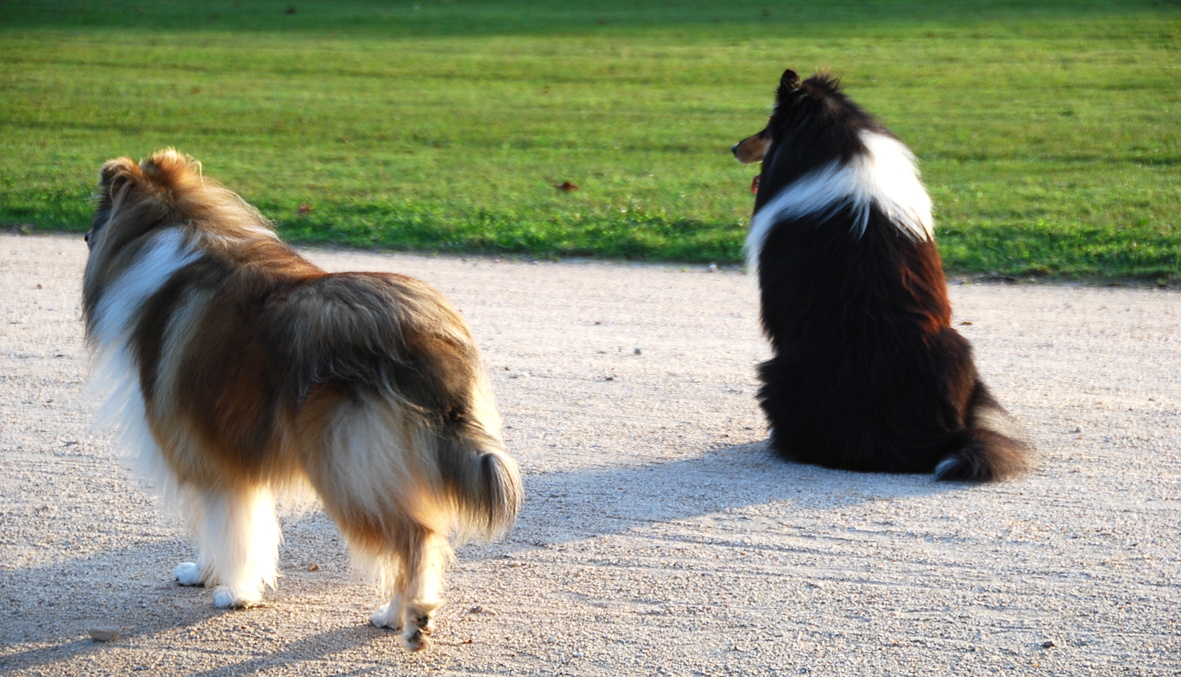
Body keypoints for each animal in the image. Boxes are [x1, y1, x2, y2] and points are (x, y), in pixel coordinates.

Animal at [82, 149, 522, 649]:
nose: (83, 235)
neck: (169, 225)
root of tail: (423, 337)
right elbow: (219, 526)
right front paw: (203, 573)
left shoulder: (209, 452)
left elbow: (227, 527)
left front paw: (231, 592)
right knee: (421, 531)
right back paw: (403, 614)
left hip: (345, 464)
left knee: (417, 537)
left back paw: (406, 618)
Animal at [732, 70, 1032, 481]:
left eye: (769, 126)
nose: (734, 147)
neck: (838, 145)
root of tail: (921, 440)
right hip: (961, 349)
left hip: (775, 374)